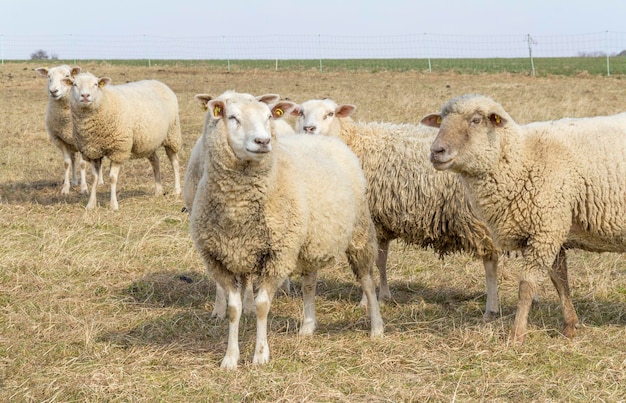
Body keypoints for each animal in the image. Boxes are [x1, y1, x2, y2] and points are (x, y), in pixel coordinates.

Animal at [35, 64, 89, 194]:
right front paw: (65, 188)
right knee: (73, 159)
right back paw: (74, 181)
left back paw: (100, 181)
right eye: (48, 76)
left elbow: (82, 164)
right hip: (71, 143)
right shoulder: (61, 139)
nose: (53, 91)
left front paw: (84, 188)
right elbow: (67, 163)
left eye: (67, 76)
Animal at [62, 73, 180, 211]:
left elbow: (112, 178)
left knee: (174, 162)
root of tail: (158, 82)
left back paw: (177, 190)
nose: (85, 96)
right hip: (147, 141)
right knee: (155, 161)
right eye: (75, 84)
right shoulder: (94, 151)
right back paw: (158, 191)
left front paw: (113, 205)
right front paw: (91, 204)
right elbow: (94, 178)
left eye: (95, 84)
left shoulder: (118, 149)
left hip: (172, 134)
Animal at [186, 90, 380, 370]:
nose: (263, 141)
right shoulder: (220, 260)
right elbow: (234, 309)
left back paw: (377, 326)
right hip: (310, 240)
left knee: (367, 280)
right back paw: (308, 325)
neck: (238, 209)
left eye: (269, 117)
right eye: (232, 117)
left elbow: (262, 306)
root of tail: (325, 138)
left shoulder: (278, 254)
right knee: (309, 282)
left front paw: (260, 355)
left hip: (359, 233)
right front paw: (230, 358)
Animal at [290, 100, 500, 322]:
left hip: (479, 221)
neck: (354, 142)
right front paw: (383, 296)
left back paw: (491, 308)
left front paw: (366, 301)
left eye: (330, 114)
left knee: (491, 264)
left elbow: (368, 264)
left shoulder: (367, 221)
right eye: (301, 112)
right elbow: (381, 261)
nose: (309, 129)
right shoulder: (381, 223)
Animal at [424, 94, 626, 344]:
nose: (436, 151)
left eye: (476, 120)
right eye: (441, 121)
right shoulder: (551, 229)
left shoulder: (546, 229)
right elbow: (560, 281)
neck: (522, 157)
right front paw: (570, 326)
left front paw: (516, 334)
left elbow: (527, 286)